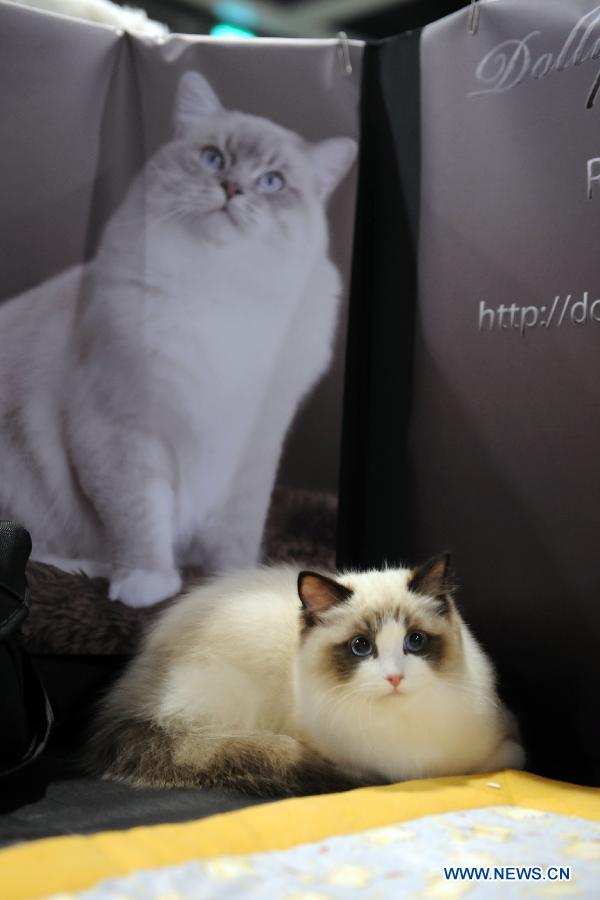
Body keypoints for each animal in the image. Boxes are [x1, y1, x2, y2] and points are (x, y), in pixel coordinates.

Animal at [0, 70, 356, 604]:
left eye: (272, 182)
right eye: (214, 158)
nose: (231, 188)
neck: (220, 291)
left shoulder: (254, 445)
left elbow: (237, 534)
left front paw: (238, 586)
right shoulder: (121, 428)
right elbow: (140, 518)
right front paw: (146, 585)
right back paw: (91, 568)